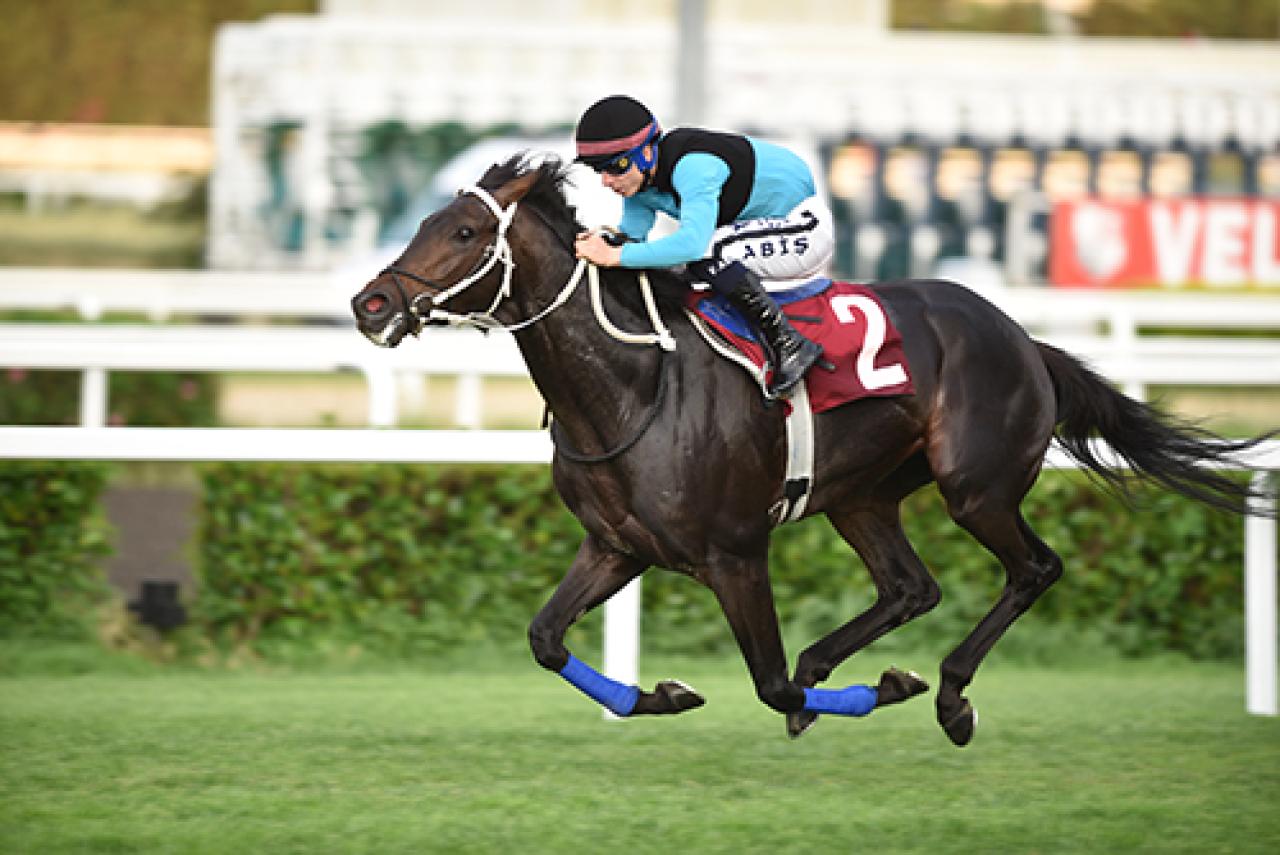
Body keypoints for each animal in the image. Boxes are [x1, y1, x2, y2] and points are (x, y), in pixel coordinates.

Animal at [348, 156, 1269, 742]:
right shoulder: (616, 546)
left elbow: (768, 680)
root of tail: (1022, 337)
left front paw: (887, 685)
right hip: (861, 495)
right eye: (427, 221)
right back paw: (849, 661)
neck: (633, 388)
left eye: (466, 231)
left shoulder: (734, 552)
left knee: (1033, 568)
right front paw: (663, 693)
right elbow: (545, 638)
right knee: (910, 586)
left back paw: (949, 695)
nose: (370, 304)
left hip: (977, 487)